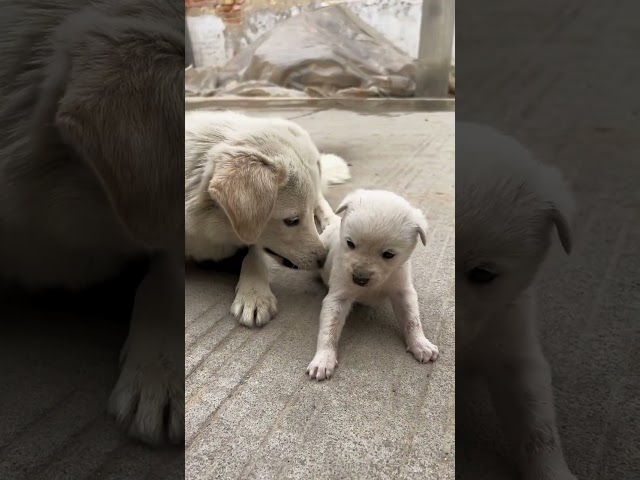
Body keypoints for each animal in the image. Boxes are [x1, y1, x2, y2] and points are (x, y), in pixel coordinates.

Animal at [306, 189, 438, 380]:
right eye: (350, 243)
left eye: (388, 254)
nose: (359, 279)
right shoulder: (338, 295)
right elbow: (329, 329)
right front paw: (323, 359)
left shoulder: (403, 291)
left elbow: (412, 320)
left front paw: (421, 344)